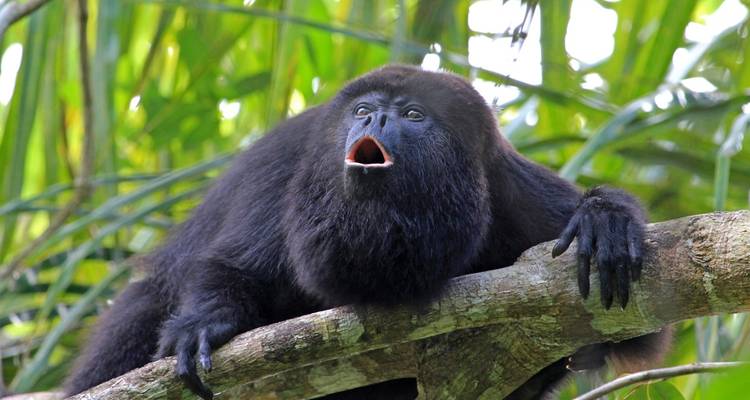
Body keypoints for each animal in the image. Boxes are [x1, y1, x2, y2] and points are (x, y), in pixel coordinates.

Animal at [64, 65, 668, 399]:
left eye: (413, 114)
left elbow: (633, 332)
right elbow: (235, 266)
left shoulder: (509, 188)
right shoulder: (294, 162)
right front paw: (204, 324)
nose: (374, 120)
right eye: (362, 109)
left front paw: (603, 219)